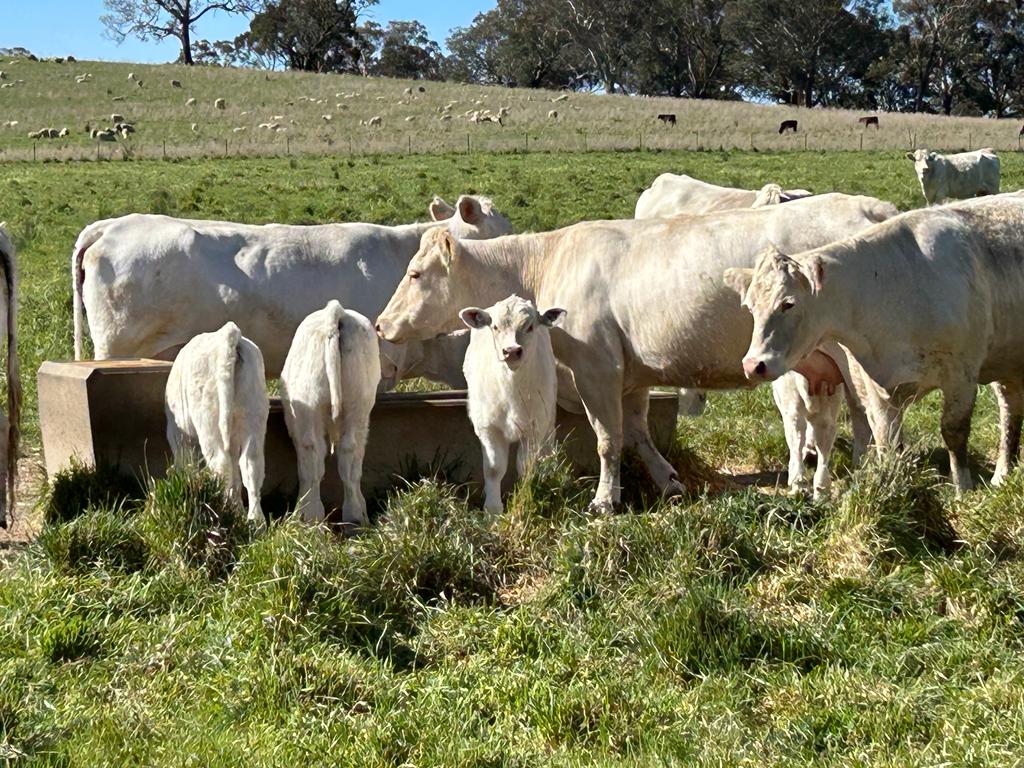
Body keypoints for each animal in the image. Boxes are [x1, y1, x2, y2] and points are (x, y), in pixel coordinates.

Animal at [165, 322, 269, 529]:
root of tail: (228, 334)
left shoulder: (177, 434)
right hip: (253, 415)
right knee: (251, 466)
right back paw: (254, 521)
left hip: (207, 420)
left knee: (221, 465)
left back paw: (222, 512)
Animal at [280, 301, 380, 526]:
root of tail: (336, 312)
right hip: (359, 404)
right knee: (350, 453)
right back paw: (355, 518)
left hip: (309, 408)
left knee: (312, 456)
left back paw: (309, 517)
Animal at [460, 296, 565, 512]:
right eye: (495, 326)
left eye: (530, 326)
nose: (512, 351)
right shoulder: (487, 427)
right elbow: (494, 468)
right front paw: (492, 509)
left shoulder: (534, 427)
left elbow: (525, 466)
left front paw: (525, 497)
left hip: (548, 415)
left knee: (548, 447)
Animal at [725, 192, 1024, 493]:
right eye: (750, 307)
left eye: (788, 303)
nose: (753, 365)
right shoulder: (876, 388)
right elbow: (886, 443)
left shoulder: (961, 375)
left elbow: (954, 433)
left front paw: (963, 489)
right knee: (1010, 408)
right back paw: (1002, 475)